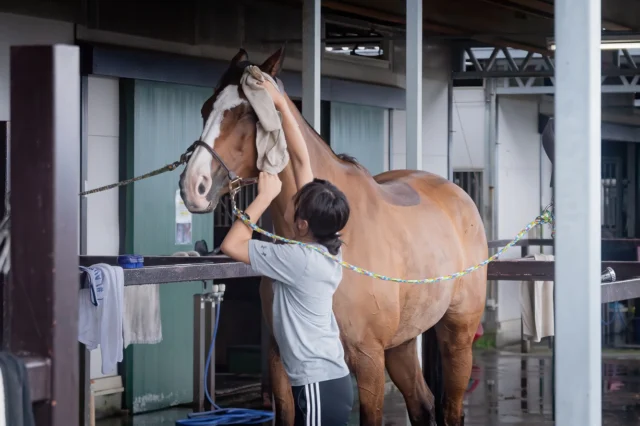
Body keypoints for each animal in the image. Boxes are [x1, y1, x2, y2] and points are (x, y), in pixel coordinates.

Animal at [178, 47, 487, 426]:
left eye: (248, 114)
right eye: (206, 108)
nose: (193, 186)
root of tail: (456, 195)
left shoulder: (367, 359)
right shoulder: (280, 359)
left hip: (457, 335)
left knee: (450, 408)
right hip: (401, 344)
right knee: (422, 403)